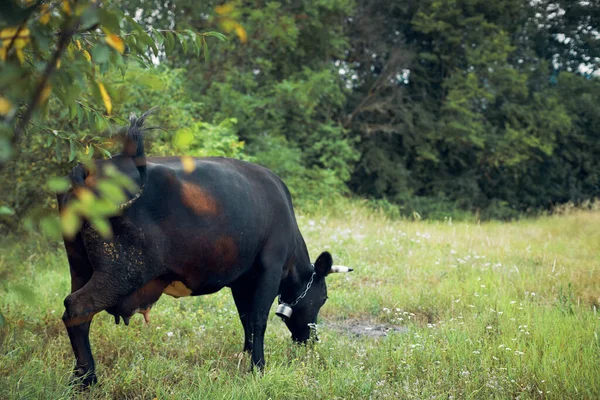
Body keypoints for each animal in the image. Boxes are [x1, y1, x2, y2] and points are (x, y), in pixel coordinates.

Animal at [56, 113, 352, 388]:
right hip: (122, 270)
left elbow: (246, 318)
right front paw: (258, 368)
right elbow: (258, 320)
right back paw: (89, 378)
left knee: (77, 313)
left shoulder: (242, 279)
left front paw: (245, 356)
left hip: (80, 265)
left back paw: (77, 377)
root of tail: (93, 167)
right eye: (323, 297)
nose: (311, 340)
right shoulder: (270, 268)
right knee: (77, 307)